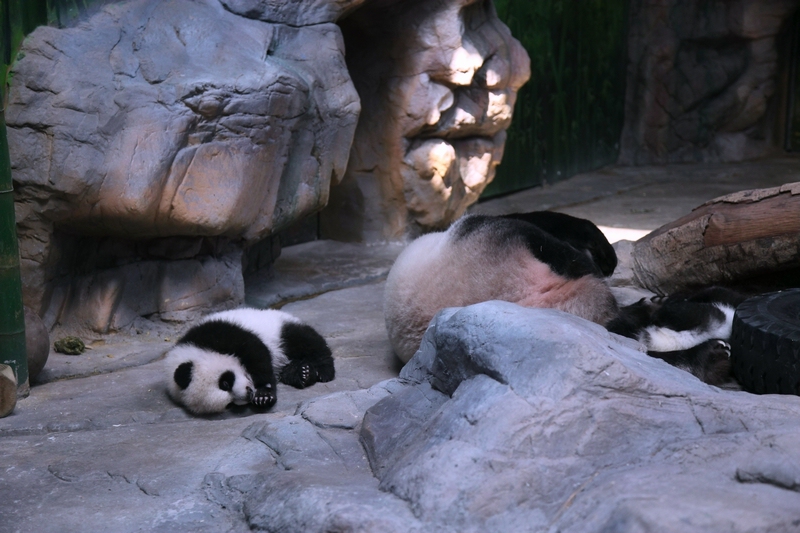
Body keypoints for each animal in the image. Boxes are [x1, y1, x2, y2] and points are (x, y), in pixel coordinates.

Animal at [165, 308, 335, 415]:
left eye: (225, 382)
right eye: (229, 404)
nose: (248, 395)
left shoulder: (222, 333)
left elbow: (257, 355)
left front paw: (264, 395)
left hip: (279, 327)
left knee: (305, 341)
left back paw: (323, 371)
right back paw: (303, 373)